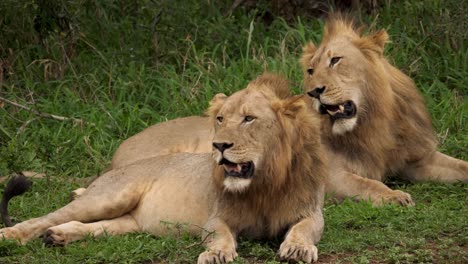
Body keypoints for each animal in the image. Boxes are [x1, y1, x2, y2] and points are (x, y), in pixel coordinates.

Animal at [0, 74, 328, 264]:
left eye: (249, 119)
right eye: (220, 119)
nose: (219, 145)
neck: (265, 183)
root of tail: (109, 169)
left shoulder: (310, 212)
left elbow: (303, 229)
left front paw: (298, 249)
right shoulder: (217, 217)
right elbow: (219, 234)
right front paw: (216, 253)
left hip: (128, 222)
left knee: (91, 226)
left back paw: (58, 236)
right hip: (109, 196)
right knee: (42, 218)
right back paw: (11, 235)